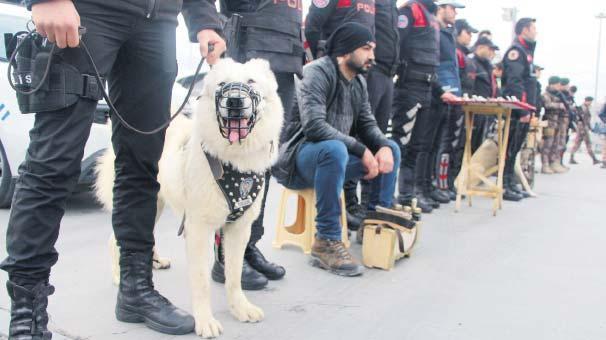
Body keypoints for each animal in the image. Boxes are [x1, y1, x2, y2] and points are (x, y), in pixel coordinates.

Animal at [95, 59, 284, 338]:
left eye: (250, 81)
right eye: (222, 84)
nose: (234, 101)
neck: (232, 161)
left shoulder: (239, 228)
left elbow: (234, 274)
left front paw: (240, 308)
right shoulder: (198, 229)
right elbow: (201, 282)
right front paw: (204, 321)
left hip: (156, 205)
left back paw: (155, 261)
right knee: (114, 239)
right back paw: (120, 277)